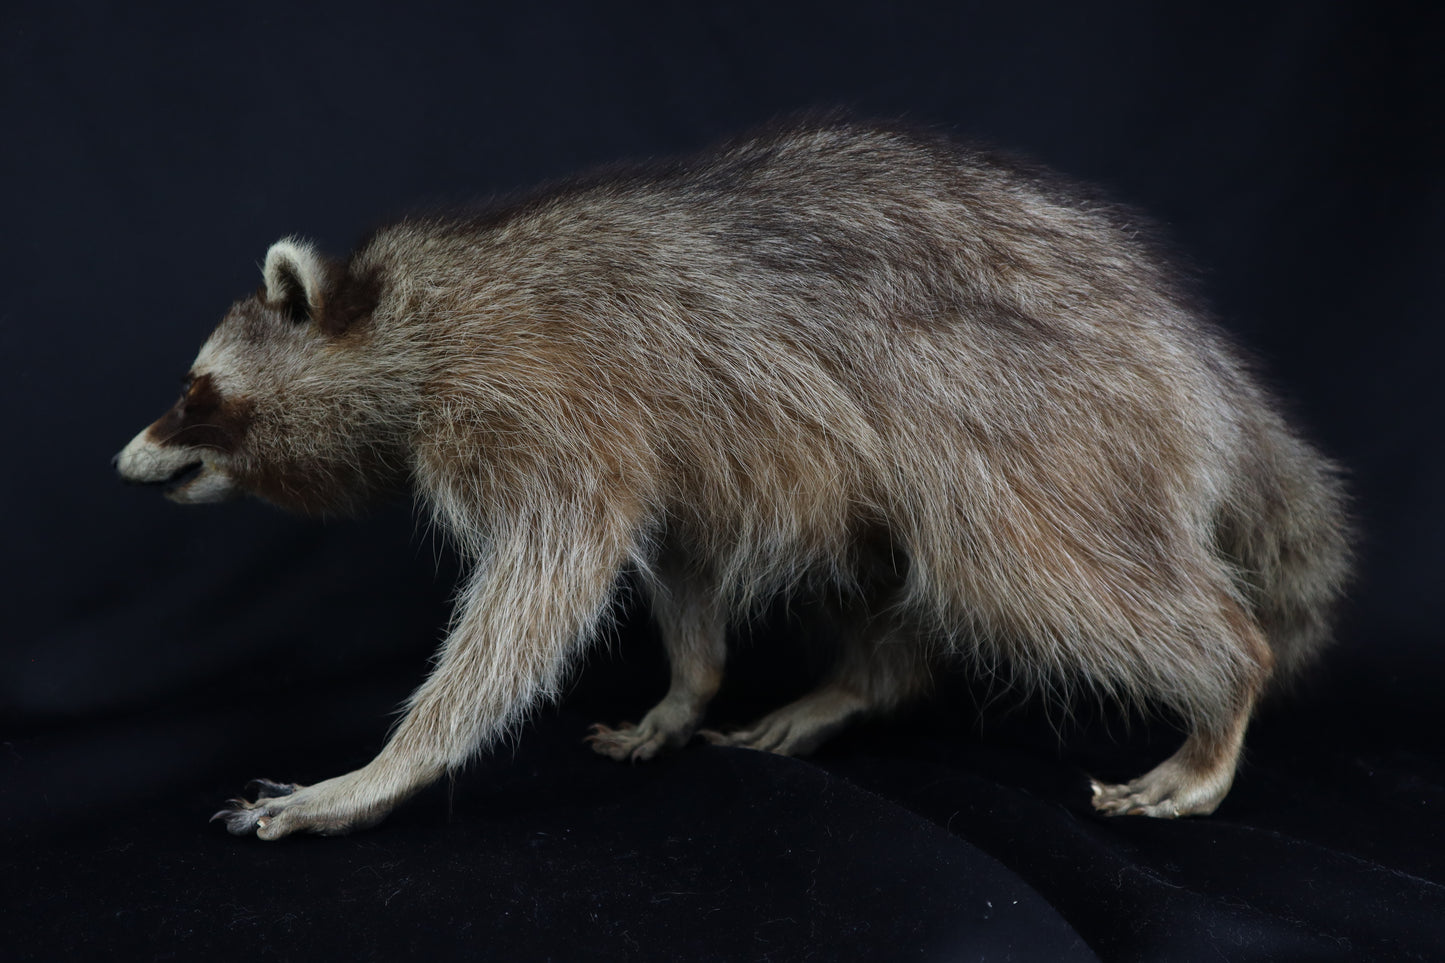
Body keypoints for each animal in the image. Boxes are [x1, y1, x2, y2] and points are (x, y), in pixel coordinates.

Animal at [116, 121, 1351, 839]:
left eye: (197, 390)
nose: (126, 458)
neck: (400, 313)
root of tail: (1190, 351)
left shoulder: (533, 396)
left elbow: (546, 580)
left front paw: (386, 768)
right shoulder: (660, 442)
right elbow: (675, 548)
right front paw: (690, 681)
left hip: (1032, 413)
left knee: (1026, 570)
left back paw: (1224, 682)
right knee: (895, 559)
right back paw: (862, 681)